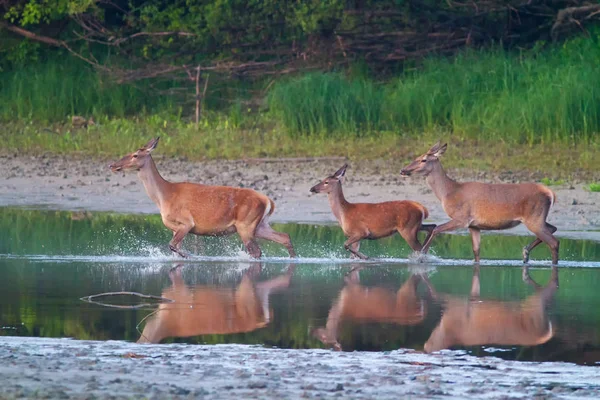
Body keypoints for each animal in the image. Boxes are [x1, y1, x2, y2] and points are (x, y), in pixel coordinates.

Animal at [109, 138, 296, 260]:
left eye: (135, 155)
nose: (112, 165)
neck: (164, 197)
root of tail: (268, 201)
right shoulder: (175, 228)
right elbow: (173, 249)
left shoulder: (186, 222)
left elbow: (172, 246)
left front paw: (190, 256)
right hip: (260, 225)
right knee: (284, 237)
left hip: (246, 224)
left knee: (257, 251)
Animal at [400, 142, 560, 264]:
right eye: (416, 157)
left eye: (424, 160)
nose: (403, 170)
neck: (449, 192)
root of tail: (550, 193)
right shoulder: (474, 225)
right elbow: (476, 252)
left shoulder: (462, 218)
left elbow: (436, 229)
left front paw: (422, 255)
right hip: (538, 218)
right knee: (553, 228)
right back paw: (525, 253)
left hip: (534, 218)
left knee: (554, 242)